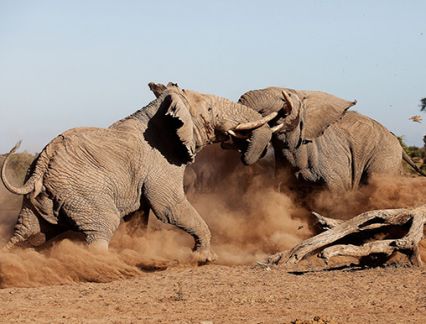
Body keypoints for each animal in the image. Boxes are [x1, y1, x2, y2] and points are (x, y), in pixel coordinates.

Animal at [0, 81, 272, 264]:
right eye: (209, 109)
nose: (239, 148)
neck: (160, 112)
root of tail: (41, 166)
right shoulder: (160, 162)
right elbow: (169, 207)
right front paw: (205, 258)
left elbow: (139, 214)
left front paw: (137, 246)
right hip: (82, 191)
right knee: (104, 224)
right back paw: (103, 264)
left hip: (40, 199)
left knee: (29, 233)